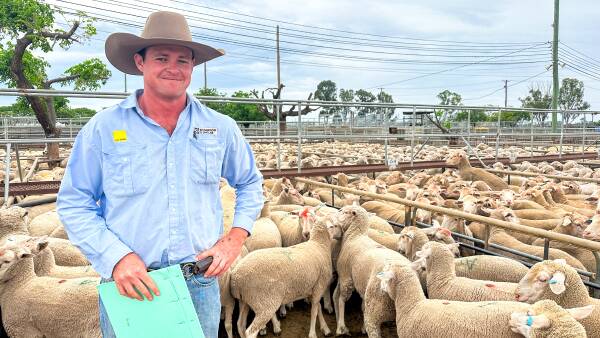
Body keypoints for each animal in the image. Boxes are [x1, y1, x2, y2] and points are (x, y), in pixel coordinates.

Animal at [330, 205, 410, 336]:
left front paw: (341, 326)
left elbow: (342, 300)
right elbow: (362, 306)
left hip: (376, 301)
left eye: (344, 211)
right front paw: (361, 327)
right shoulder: (362, 283)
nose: (332, 217)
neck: (355, 236)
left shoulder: (346, 275)